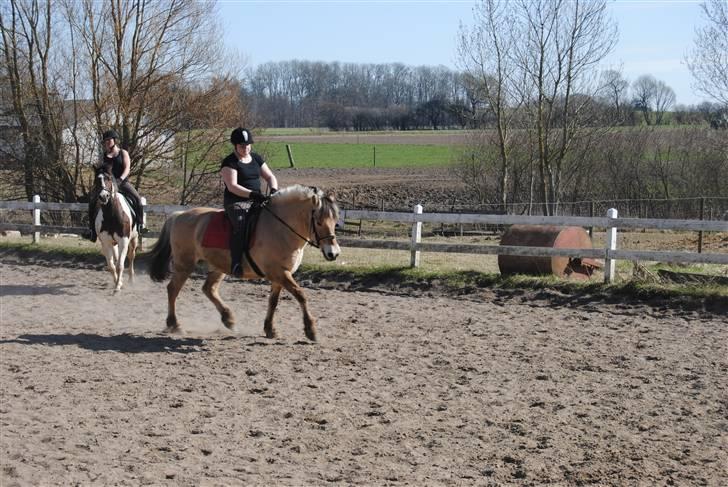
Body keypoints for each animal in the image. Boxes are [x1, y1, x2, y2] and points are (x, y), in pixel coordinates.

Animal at [149, 185, 344, 342]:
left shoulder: (280, 274)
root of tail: (179, 215)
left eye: (335, 222)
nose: (333, 253)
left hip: (218, 266)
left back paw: (228, 319)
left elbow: (273, 301)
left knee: (208, 289)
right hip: (185, 264)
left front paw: (270, 329)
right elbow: (301, 295)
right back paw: (174, 324)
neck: (281, 229)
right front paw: (311, 330)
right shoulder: (279, 272)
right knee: (173, 289)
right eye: (318, 222)